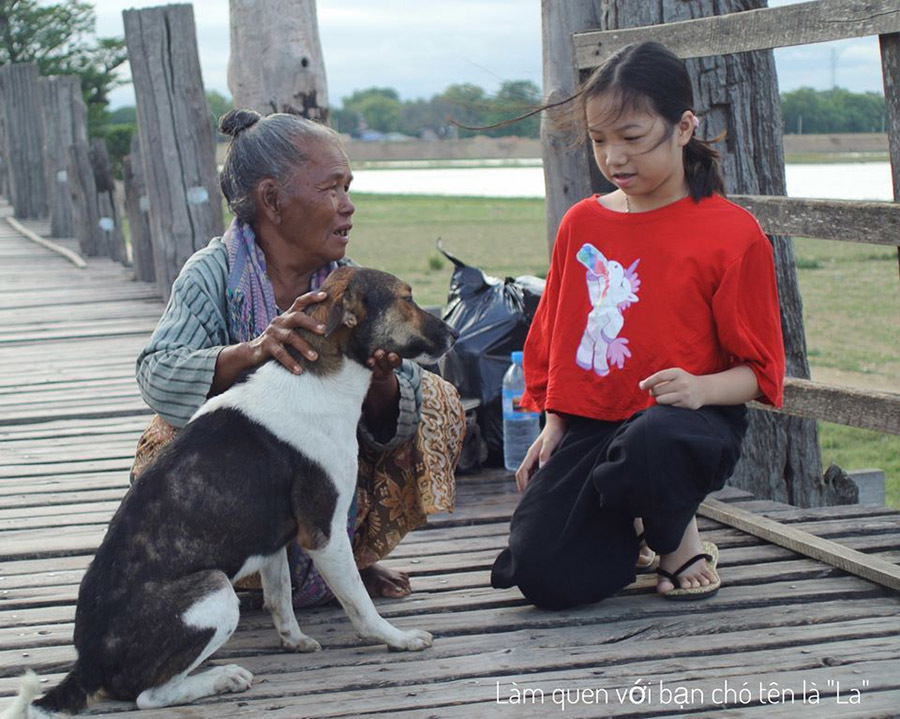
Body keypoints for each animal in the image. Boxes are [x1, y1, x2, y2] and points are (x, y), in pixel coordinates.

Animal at [1, 268, 458, 716]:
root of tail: (88, 665)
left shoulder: (273, 540)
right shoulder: (323, 535)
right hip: (216, 588)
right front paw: (397, 638)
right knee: (150, 695)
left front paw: (293, 640)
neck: (322, 374)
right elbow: (360, 605)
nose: (453, 334)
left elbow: (279, 597)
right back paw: (222, 678)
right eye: (407, 298)